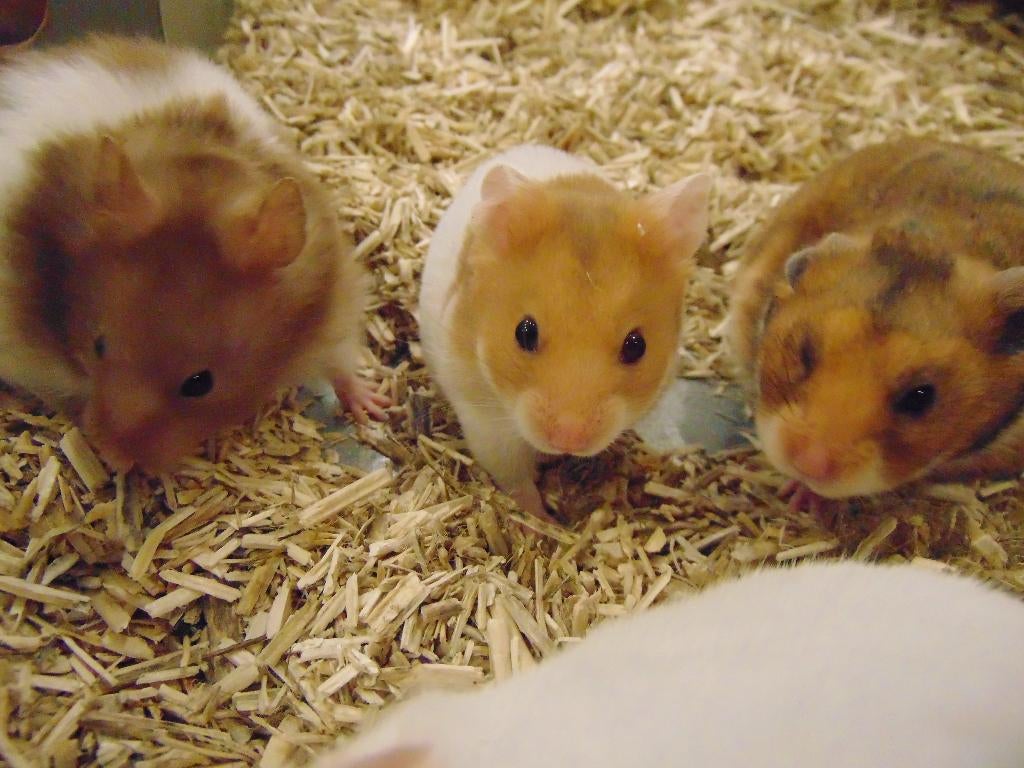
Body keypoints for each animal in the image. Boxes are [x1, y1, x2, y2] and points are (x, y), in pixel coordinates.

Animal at [0, 36, 387, 472]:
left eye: (200, 384)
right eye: (98, 346)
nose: (108, 455)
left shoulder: (331, 302)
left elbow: (341, 366)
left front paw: (376, 408)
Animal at [419, 144, 710, 520]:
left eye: (637, 345)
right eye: (524, 332)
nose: (568, 439)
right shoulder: (486, 423)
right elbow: (516, 481)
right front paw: (540, 521)